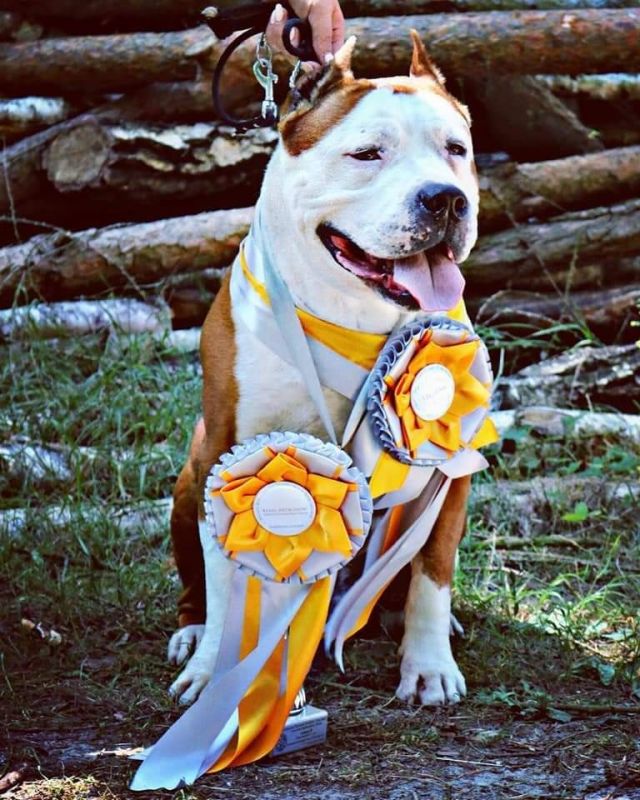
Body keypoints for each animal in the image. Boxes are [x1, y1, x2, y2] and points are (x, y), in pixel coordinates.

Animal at [166, 31, 479, 709]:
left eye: (456, 150)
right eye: (366, 154)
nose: (446, 198)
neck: (352, 314)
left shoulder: (452, 466)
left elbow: (432, 574)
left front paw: (428, 665)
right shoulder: (225, 449)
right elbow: (224, 578)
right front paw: (214, 674)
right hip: (188, 472)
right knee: (194, 583)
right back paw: (191, 632)